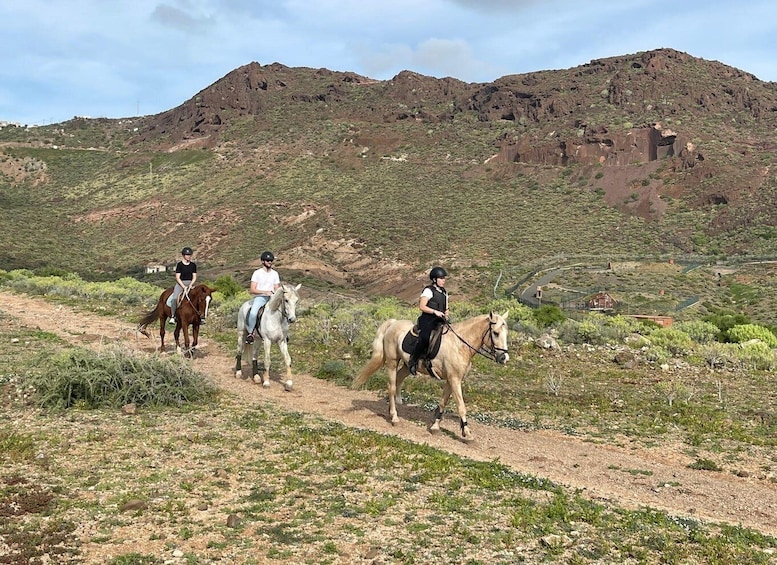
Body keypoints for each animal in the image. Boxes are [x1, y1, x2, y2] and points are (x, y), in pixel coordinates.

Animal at [352, 312, 510, 440]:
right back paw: (394, 417)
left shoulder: (451, 379)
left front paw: (435, 426)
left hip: (407, 366)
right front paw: (467, 432)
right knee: (391, 386)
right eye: (495, 333)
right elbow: (461, 406)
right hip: (392, 362)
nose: (504, 358)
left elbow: (443, 402)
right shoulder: (454, 379)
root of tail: (394, 323)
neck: (459, 344)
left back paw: (394, 406)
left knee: (398, 380)